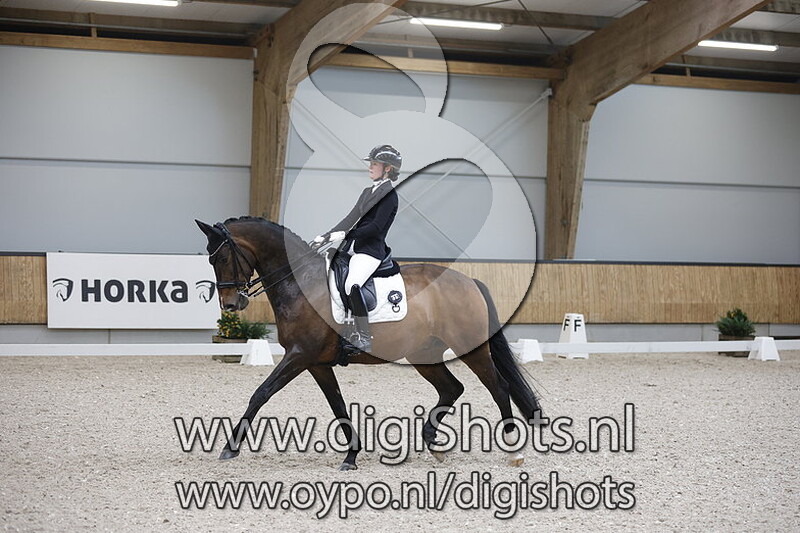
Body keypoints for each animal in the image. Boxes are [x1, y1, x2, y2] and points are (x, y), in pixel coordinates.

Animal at [196, 216, 541, 470]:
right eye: (211, 259)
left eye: (223, 256)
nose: (231, 304)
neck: (301, 284)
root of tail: (469, 280)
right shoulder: (316, 363)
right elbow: (337, 405)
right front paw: (351, 455)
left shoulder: (299, 356)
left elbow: (261, 393)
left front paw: (230, 448)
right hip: (423, 353)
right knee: (452, 388)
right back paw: (433, 443)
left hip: (472, 348)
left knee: (498, 387)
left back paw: (513, 451)